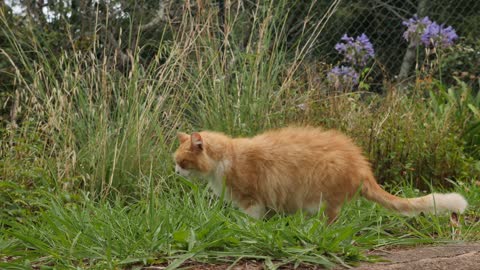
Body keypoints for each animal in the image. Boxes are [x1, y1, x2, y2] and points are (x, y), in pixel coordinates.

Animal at [173, 126, 468, 221]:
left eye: (182, 162)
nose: (175, 171)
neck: (227, 158)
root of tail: (363, 167)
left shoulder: (251, 200)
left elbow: (251, 219)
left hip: (323, 195)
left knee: (330, 220)